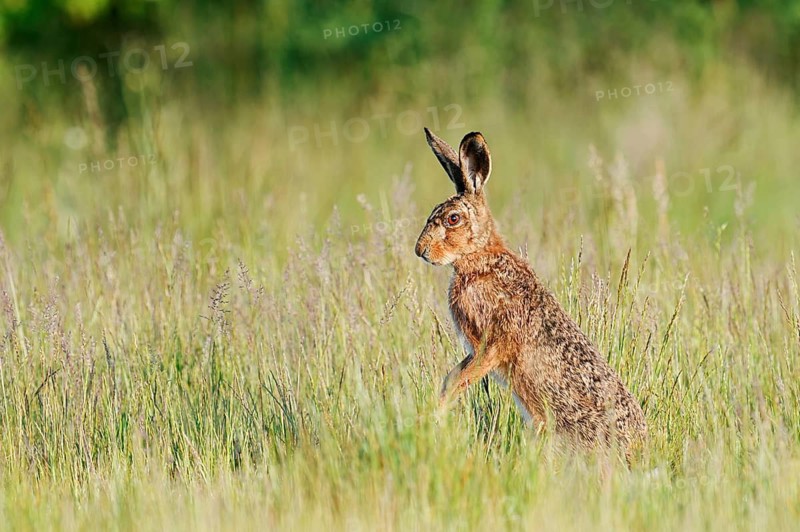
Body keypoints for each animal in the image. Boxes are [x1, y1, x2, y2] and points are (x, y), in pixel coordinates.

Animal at [415, 128, 647, 462]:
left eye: (453, 219)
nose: (420, 250)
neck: (479, 258)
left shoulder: (494, 342)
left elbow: (465, 377)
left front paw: (438, 414)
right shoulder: (475, 347)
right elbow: (453, 376)